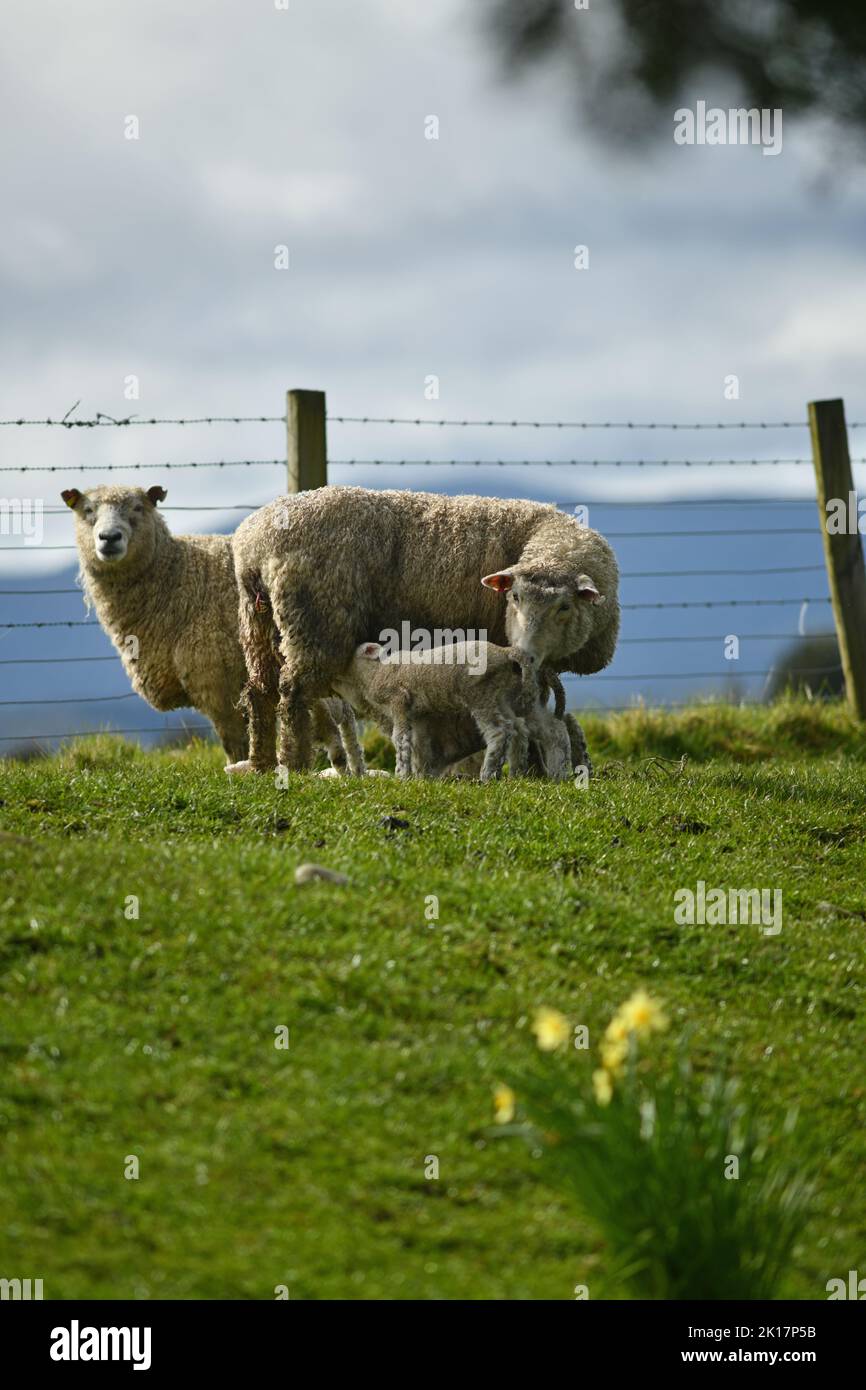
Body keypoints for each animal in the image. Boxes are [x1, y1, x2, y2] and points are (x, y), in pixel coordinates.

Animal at [61, 486, 366, 772]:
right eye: (88, 510)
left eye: (137, 507)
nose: (109, 538)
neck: (175, 577)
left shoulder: (219, 684)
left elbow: (236, 743)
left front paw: (243, 766)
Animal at [330, 639, 536, 783]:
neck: (375, 673)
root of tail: (505, 652)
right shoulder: (418, 715)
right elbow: (418, 743)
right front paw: (419, 775)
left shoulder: (399, 701)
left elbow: (400, 739)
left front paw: (402, 775)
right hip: (500, 695)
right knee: (517, 728)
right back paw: (517, 772)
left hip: (480, 693)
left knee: (499, 730)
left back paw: (488, 774)